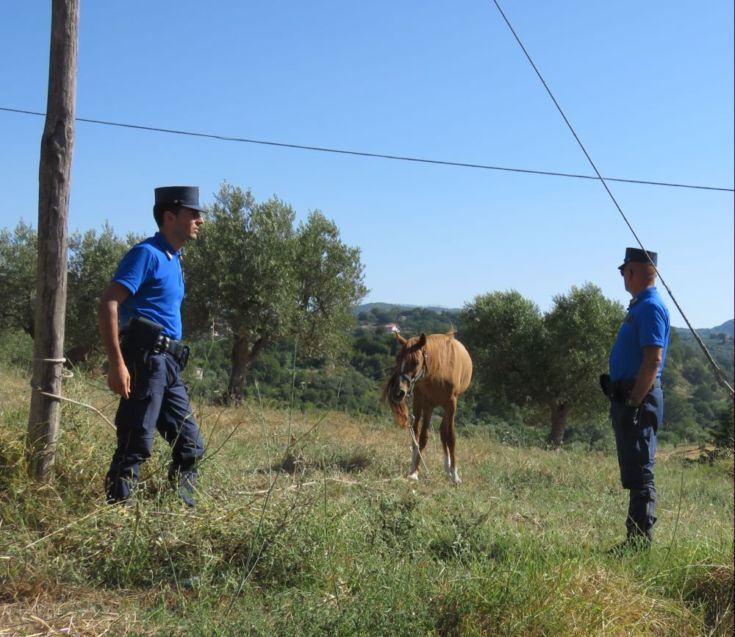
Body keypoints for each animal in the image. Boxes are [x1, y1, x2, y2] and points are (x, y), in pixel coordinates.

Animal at [383, 332, 473, 484]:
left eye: (416, 362)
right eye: (397, 359)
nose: (397, 392)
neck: (440, 369)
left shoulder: (451, 404)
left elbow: (451, 437)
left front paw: (455, 475)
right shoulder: (428, 404)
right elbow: (423, 437)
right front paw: (414, 472)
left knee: (442, 432)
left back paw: (448, 468)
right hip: (418, 402)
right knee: (415, 433)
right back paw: (414, 464)